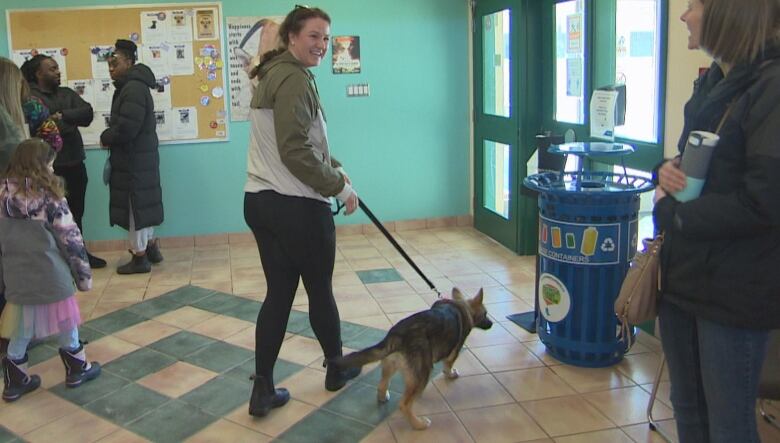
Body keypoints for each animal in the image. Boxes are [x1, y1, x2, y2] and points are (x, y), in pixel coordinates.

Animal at [330, 288, 490, 430]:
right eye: (486, 313)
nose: (492, 324)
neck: (461, 306)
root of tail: (396, 336)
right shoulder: (454, 351)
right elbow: (448, 365)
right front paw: (451, 374)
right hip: (422, 375)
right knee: (404, 405)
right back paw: (418, 424)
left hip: (390, 365)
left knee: (382, 385)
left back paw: (383, 397)